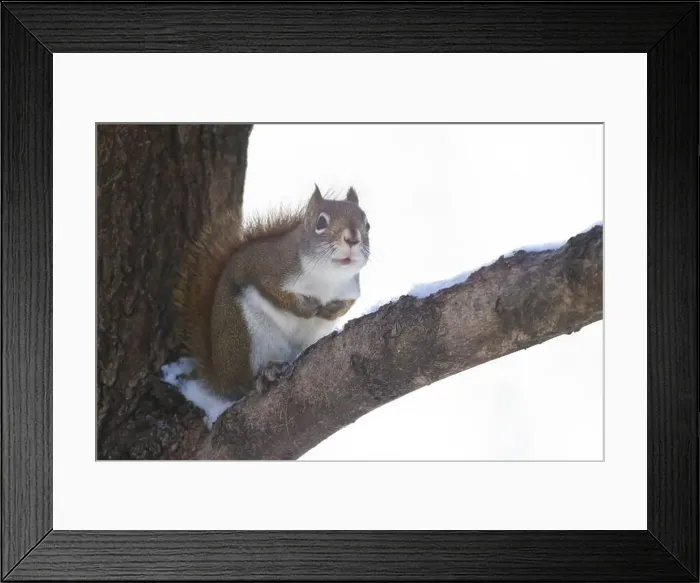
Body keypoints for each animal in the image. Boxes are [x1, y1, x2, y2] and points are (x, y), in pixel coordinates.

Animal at [173, 184, 370, 401]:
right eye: (321, 222)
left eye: (367, 225)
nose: (352, 239)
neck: (327, 279)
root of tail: (219, 376)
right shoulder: (270, 269)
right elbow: (276, 293)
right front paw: (306, 308)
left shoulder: (351, 289)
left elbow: (348, 304)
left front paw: (332, 310)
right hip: (244, 337)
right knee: (240, 385)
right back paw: (262, 377)